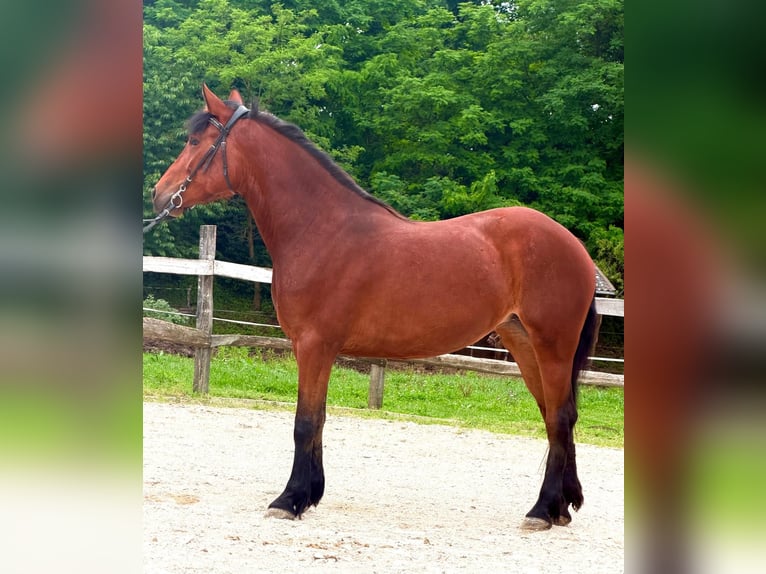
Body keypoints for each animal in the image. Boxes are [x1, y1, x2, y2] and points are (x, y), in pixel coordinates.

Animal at [151, 85, 599, 531]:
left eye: (195, 141)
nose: (159, 194)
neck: (322, 230)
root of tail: (574, 247)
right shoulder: (315, 349)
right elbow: (319, 419)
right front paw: (311, 494)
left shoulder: (314, 345)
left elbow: (304, 423)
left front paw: (289, 499)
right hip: (523, 344)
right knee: (555, 416)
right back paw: (562, 507)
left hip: (552, 346)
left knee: (559, 418)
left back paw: (542, 510)